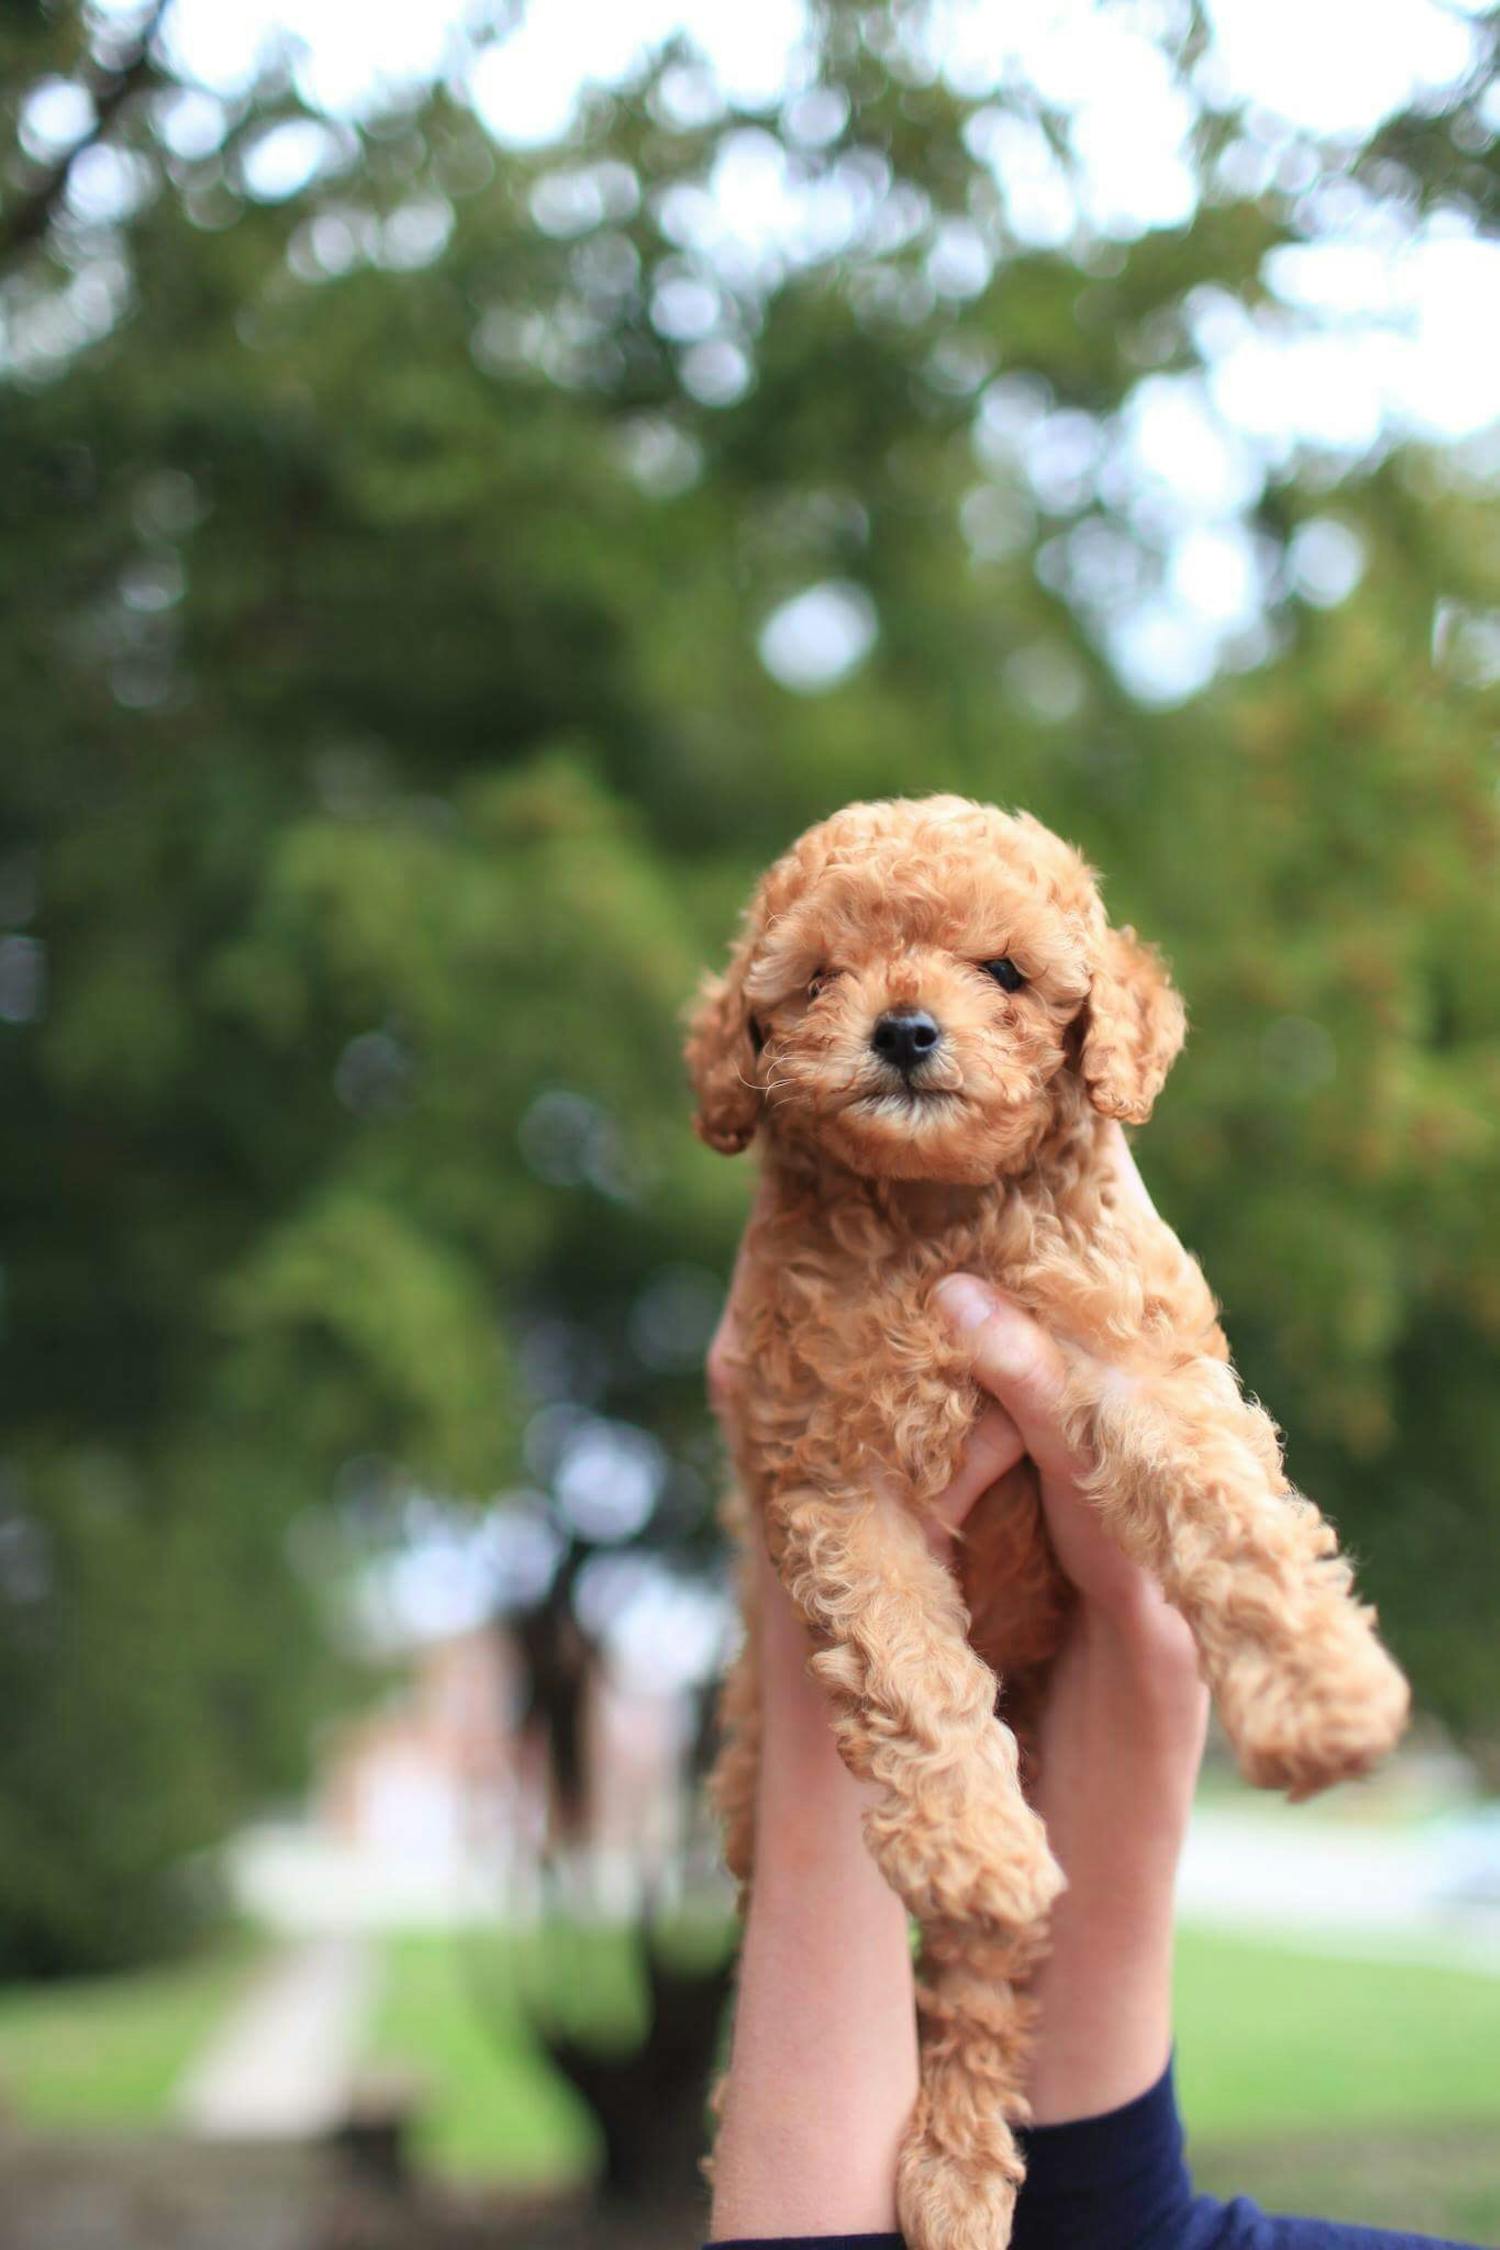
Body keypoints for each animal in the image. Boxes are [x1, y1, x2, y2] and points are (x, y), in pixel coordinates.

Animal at [688, 796, 1412, 2250]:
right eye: (820, 977)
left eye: (1007, 973)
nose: (905, 1029)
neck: (935, 1212)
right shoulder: (831, 1473)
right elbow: (912, 1669)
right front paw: (969, 1838)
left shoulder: (1135, 1356)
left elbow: (1237, 1522)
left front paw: (1327, 1694)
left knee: (982, 1986)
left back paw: (957, 2171)